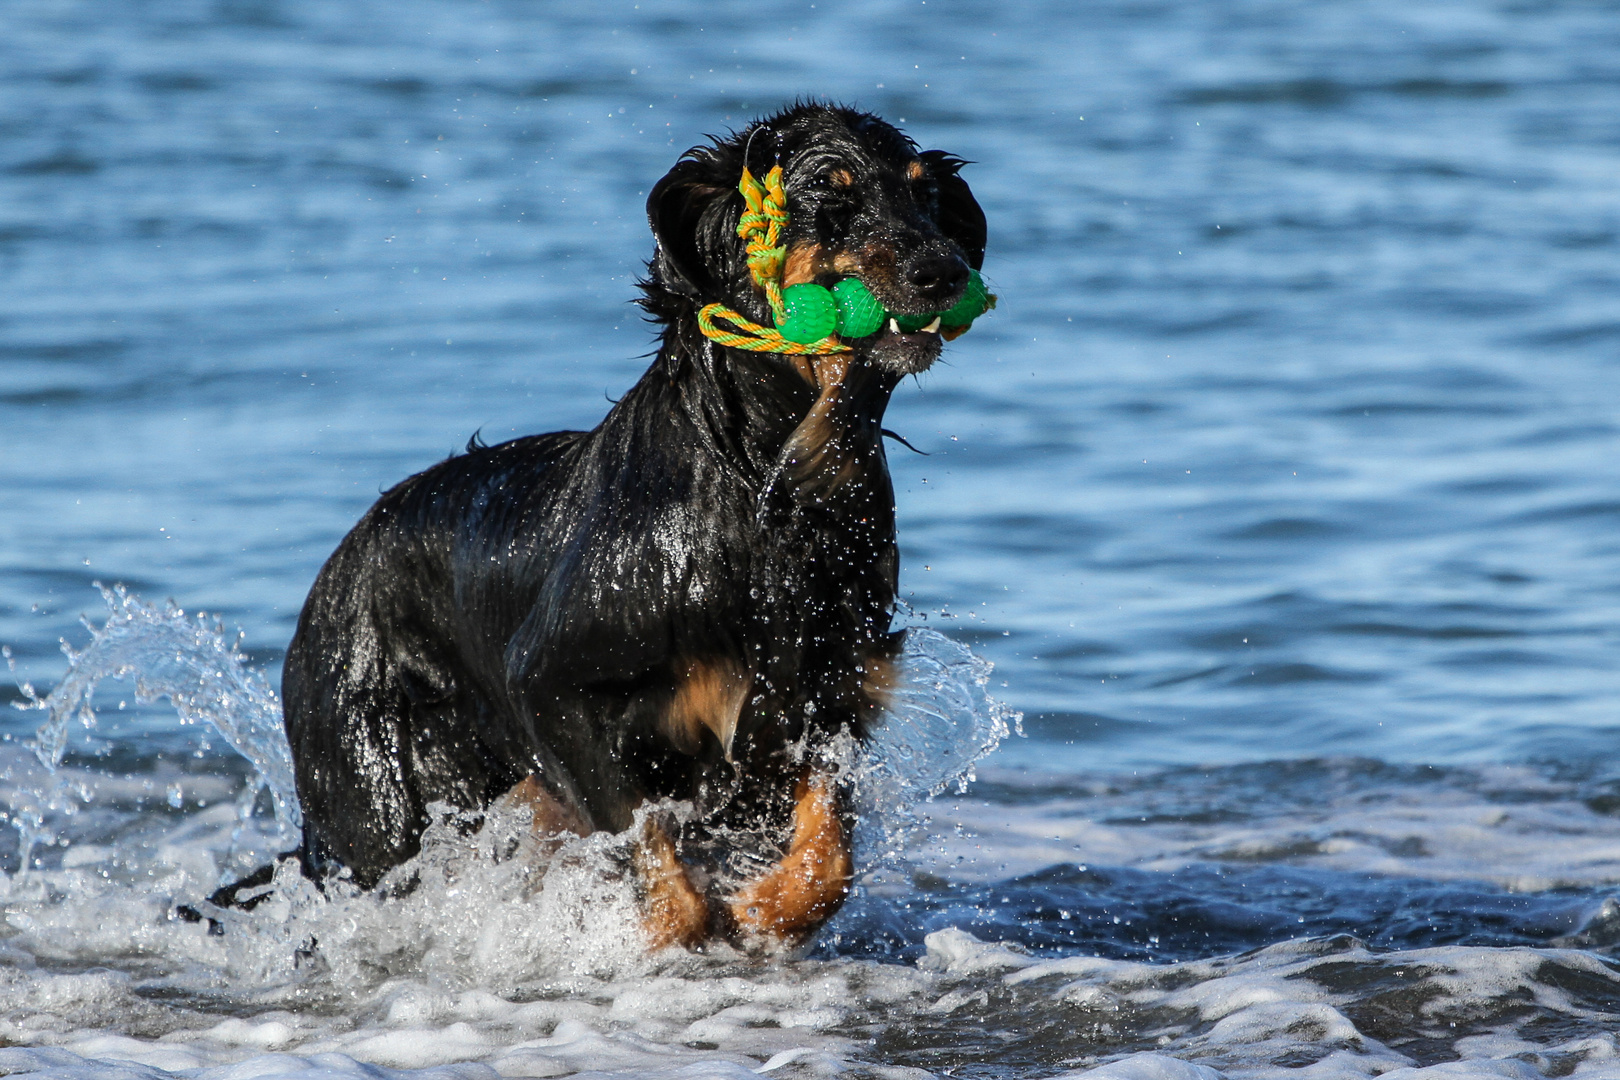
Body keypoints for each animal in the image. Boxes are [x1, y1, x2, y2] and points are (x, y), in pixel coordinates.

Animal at [257, 99, 984, 945]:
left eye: (924, 194)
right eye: (827, 194)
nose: (945, 271)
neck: (763, 486)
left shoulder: (830, 691)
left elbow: (829, 853)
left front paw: (766, 908)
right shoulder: (548, 684)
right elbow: (653, 857)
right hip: (373, 797)